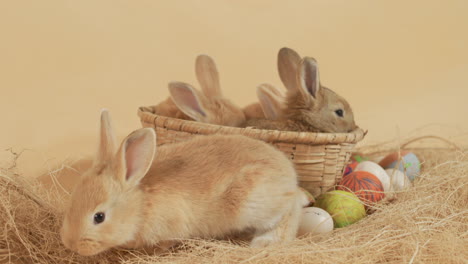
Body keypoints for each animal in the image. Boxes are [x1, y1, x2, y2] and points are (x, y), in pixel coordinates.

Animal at [61, 109, 304, 256]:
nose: (71, 244)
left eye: (99, 217)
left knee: (290, 212)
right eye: (71, 204)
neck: (140, 207)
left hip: (252, 205)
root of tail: (288, 172)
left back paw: (267, 241)